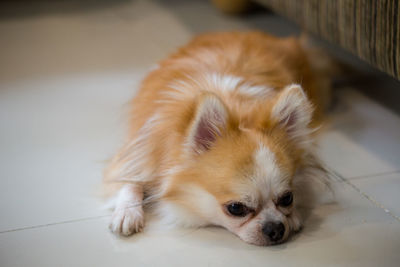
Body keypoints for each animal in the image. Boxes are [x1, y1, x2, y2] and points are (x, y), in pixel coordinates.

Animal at [103, 31, 332, 247]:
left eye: (287, 198)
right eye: (236, 208)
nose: (275, 228)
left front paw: (293, 216)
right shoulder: (139, 147)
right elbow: (129, 179)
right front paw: (127, 211)